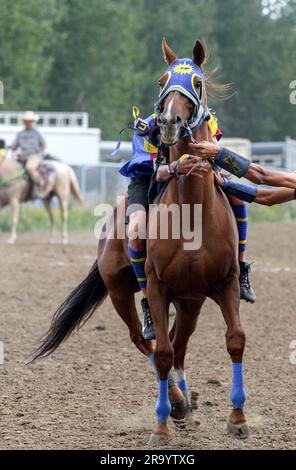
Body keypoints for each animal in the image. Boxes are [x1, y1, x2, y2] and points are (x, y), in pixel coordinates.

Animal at [33, 39, 249, 444]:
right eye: (163, 79)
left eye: (196, 81)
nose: (169, 122)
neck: (192, 212)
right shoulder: (159, 287)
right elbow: (161, 353)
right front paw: (162, 424)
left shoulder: (224, 283)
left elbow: (234, 339)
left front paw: (238, 418)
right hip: (120, 290)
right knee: (144, 339)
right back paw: (177, 402)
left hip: (191, 299)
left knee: (180, 342)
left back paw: (187, 406)